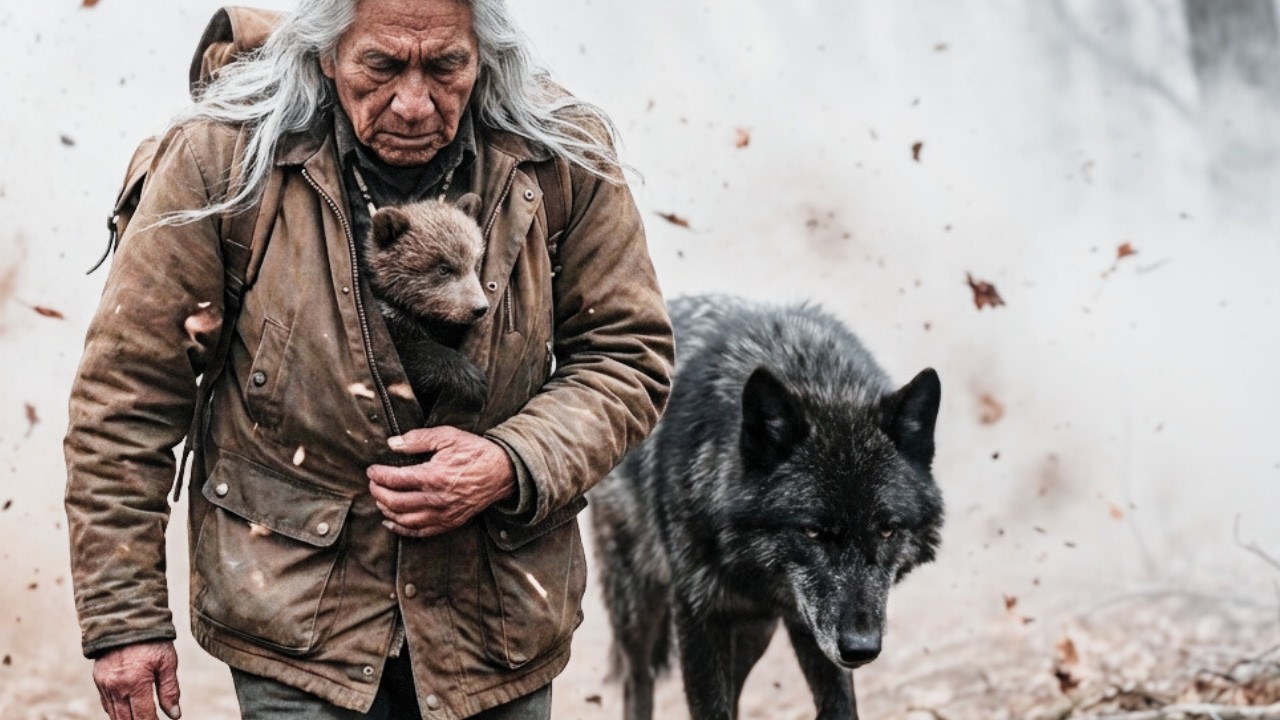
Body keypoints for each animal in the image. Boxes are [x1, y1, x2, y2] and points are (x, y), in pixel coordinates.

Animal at [363, 193, 489, 416]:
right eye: (443, 268)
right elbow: (405, 358)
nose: (480, 308)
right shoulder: (389, 323)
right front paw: (472, 380)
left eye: (475, 263)